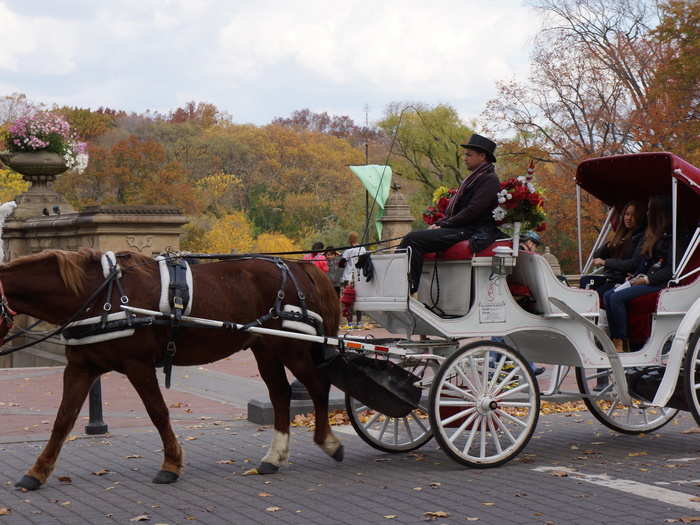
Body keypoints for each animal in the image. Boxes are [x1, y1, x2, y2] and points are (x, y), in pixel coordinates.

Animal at [0, 248, 340, 490]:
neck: (99, 295)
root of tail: (295, 267)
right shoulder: (81, 367)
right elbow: (62, 420)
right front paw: (37, 471)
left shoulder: (137, 365)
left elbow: (158, 412)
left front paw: (171, 464)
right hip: (266, 349)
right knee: (281, 394)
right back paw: (274, 457)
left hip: (293, 348)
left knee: (317, 386)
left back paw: (329, 442)